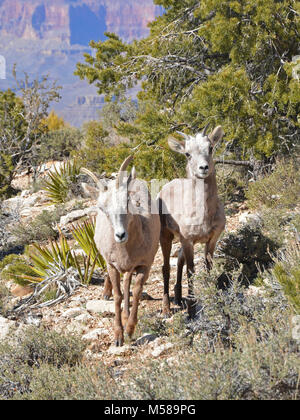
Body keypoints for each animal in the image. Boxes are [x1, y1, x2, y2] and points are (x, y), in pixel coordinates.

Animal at [81, 156, 161, 346]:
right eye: (102, 208)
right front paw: (118, 337)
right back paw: (105, 294)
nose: (120, 235)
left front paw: (130, 329)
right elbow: (117, 296)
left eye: (126, 202)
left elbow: (136, 291)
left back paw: (126, 317)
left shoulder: (144, 265)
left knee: (127, 284)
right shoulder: (112, 265)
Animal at [159, 124, 225, 318]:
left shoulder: (211, 240)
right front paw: (191, 311)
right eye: (187, 153)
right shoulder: (188, 240)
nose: (203, 168)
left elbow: (208, 267)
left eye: (210, 148)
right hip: (165, 236)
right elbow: (191, 271)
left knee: (179, 260)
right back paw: (166, 309)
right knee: (166, 268)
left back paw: (178, 298)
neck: (204, 215)